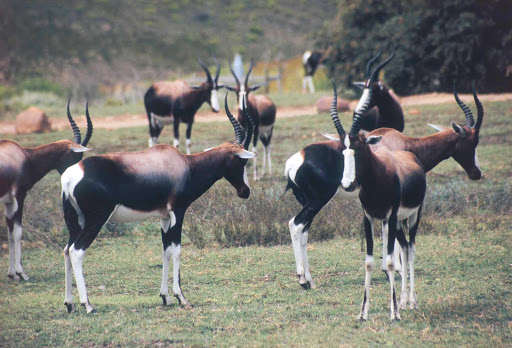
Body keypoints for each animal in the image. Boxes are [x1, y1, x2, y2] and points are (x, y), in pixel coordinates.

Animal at [0, 100, 92, 280]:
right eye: (76, 156)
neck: (25, 156)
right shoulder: (19, 197)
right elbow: (18, 232)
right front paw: (22, 273)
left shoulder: (8, 201)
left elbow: (10, 232)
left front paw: (12, 273)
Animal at [60, 94, 256, 312]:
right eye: (242, 161)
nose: (245, 191)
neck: (184, 164)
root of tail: (71, 175)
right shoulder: (178, 212)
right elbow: (177, 249)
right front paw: (181, 298)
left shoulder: (164, 217)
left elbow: (166, 250)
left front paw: (165, 297)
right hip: (96, 220)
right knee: (76, 251)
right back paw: (88, 305)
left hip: (75, 221)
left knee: (66, 250)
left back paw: (69, 304)